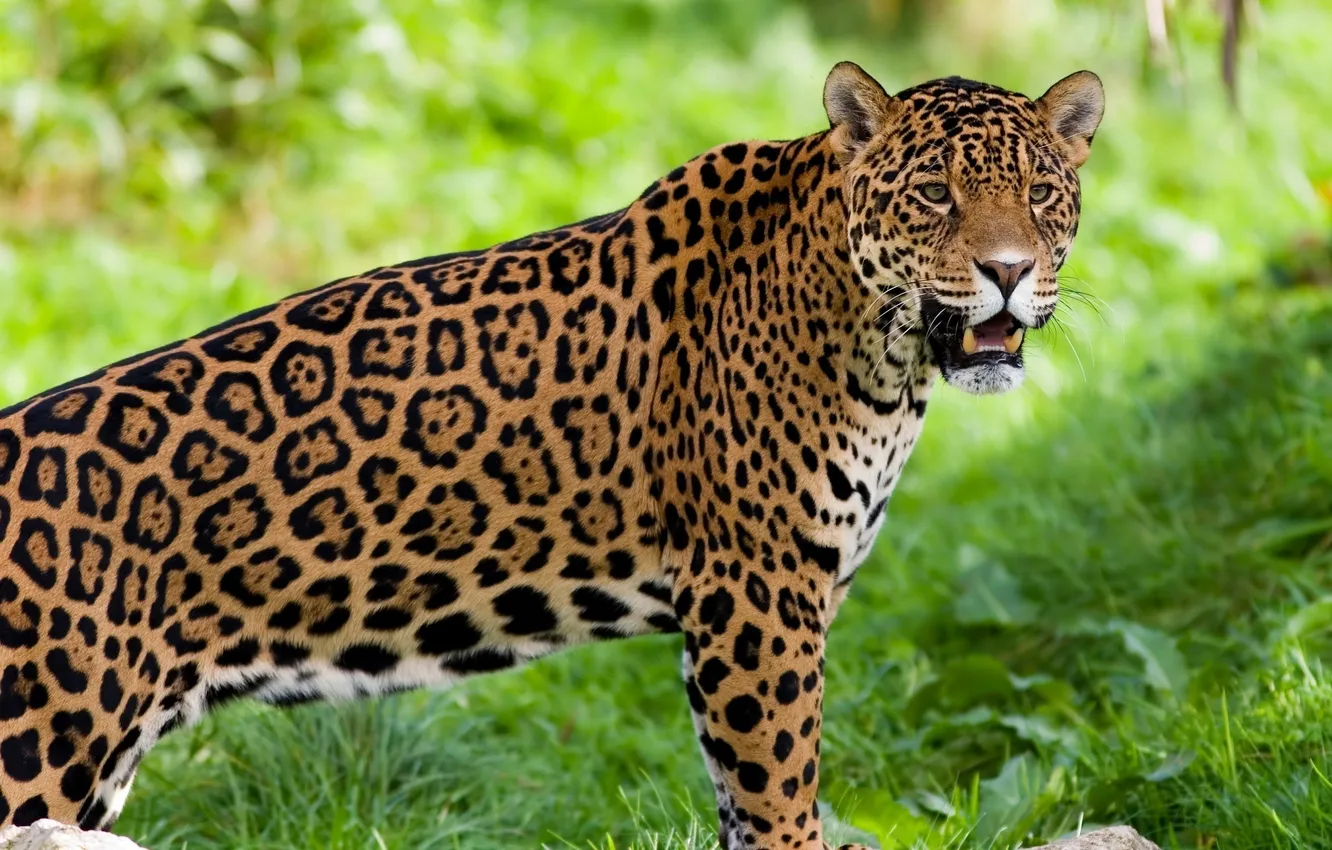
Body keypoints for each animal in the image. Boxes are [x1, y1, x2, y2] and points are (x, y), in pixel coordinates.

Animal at [0, 62, 1104, 849]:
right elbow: (782, 791)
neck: (878, 340)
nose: (1009, 271)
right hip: (38, 752)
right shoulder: (756, 594)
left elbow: (738, 801)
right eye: (935, 195)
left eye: (1043, 195)